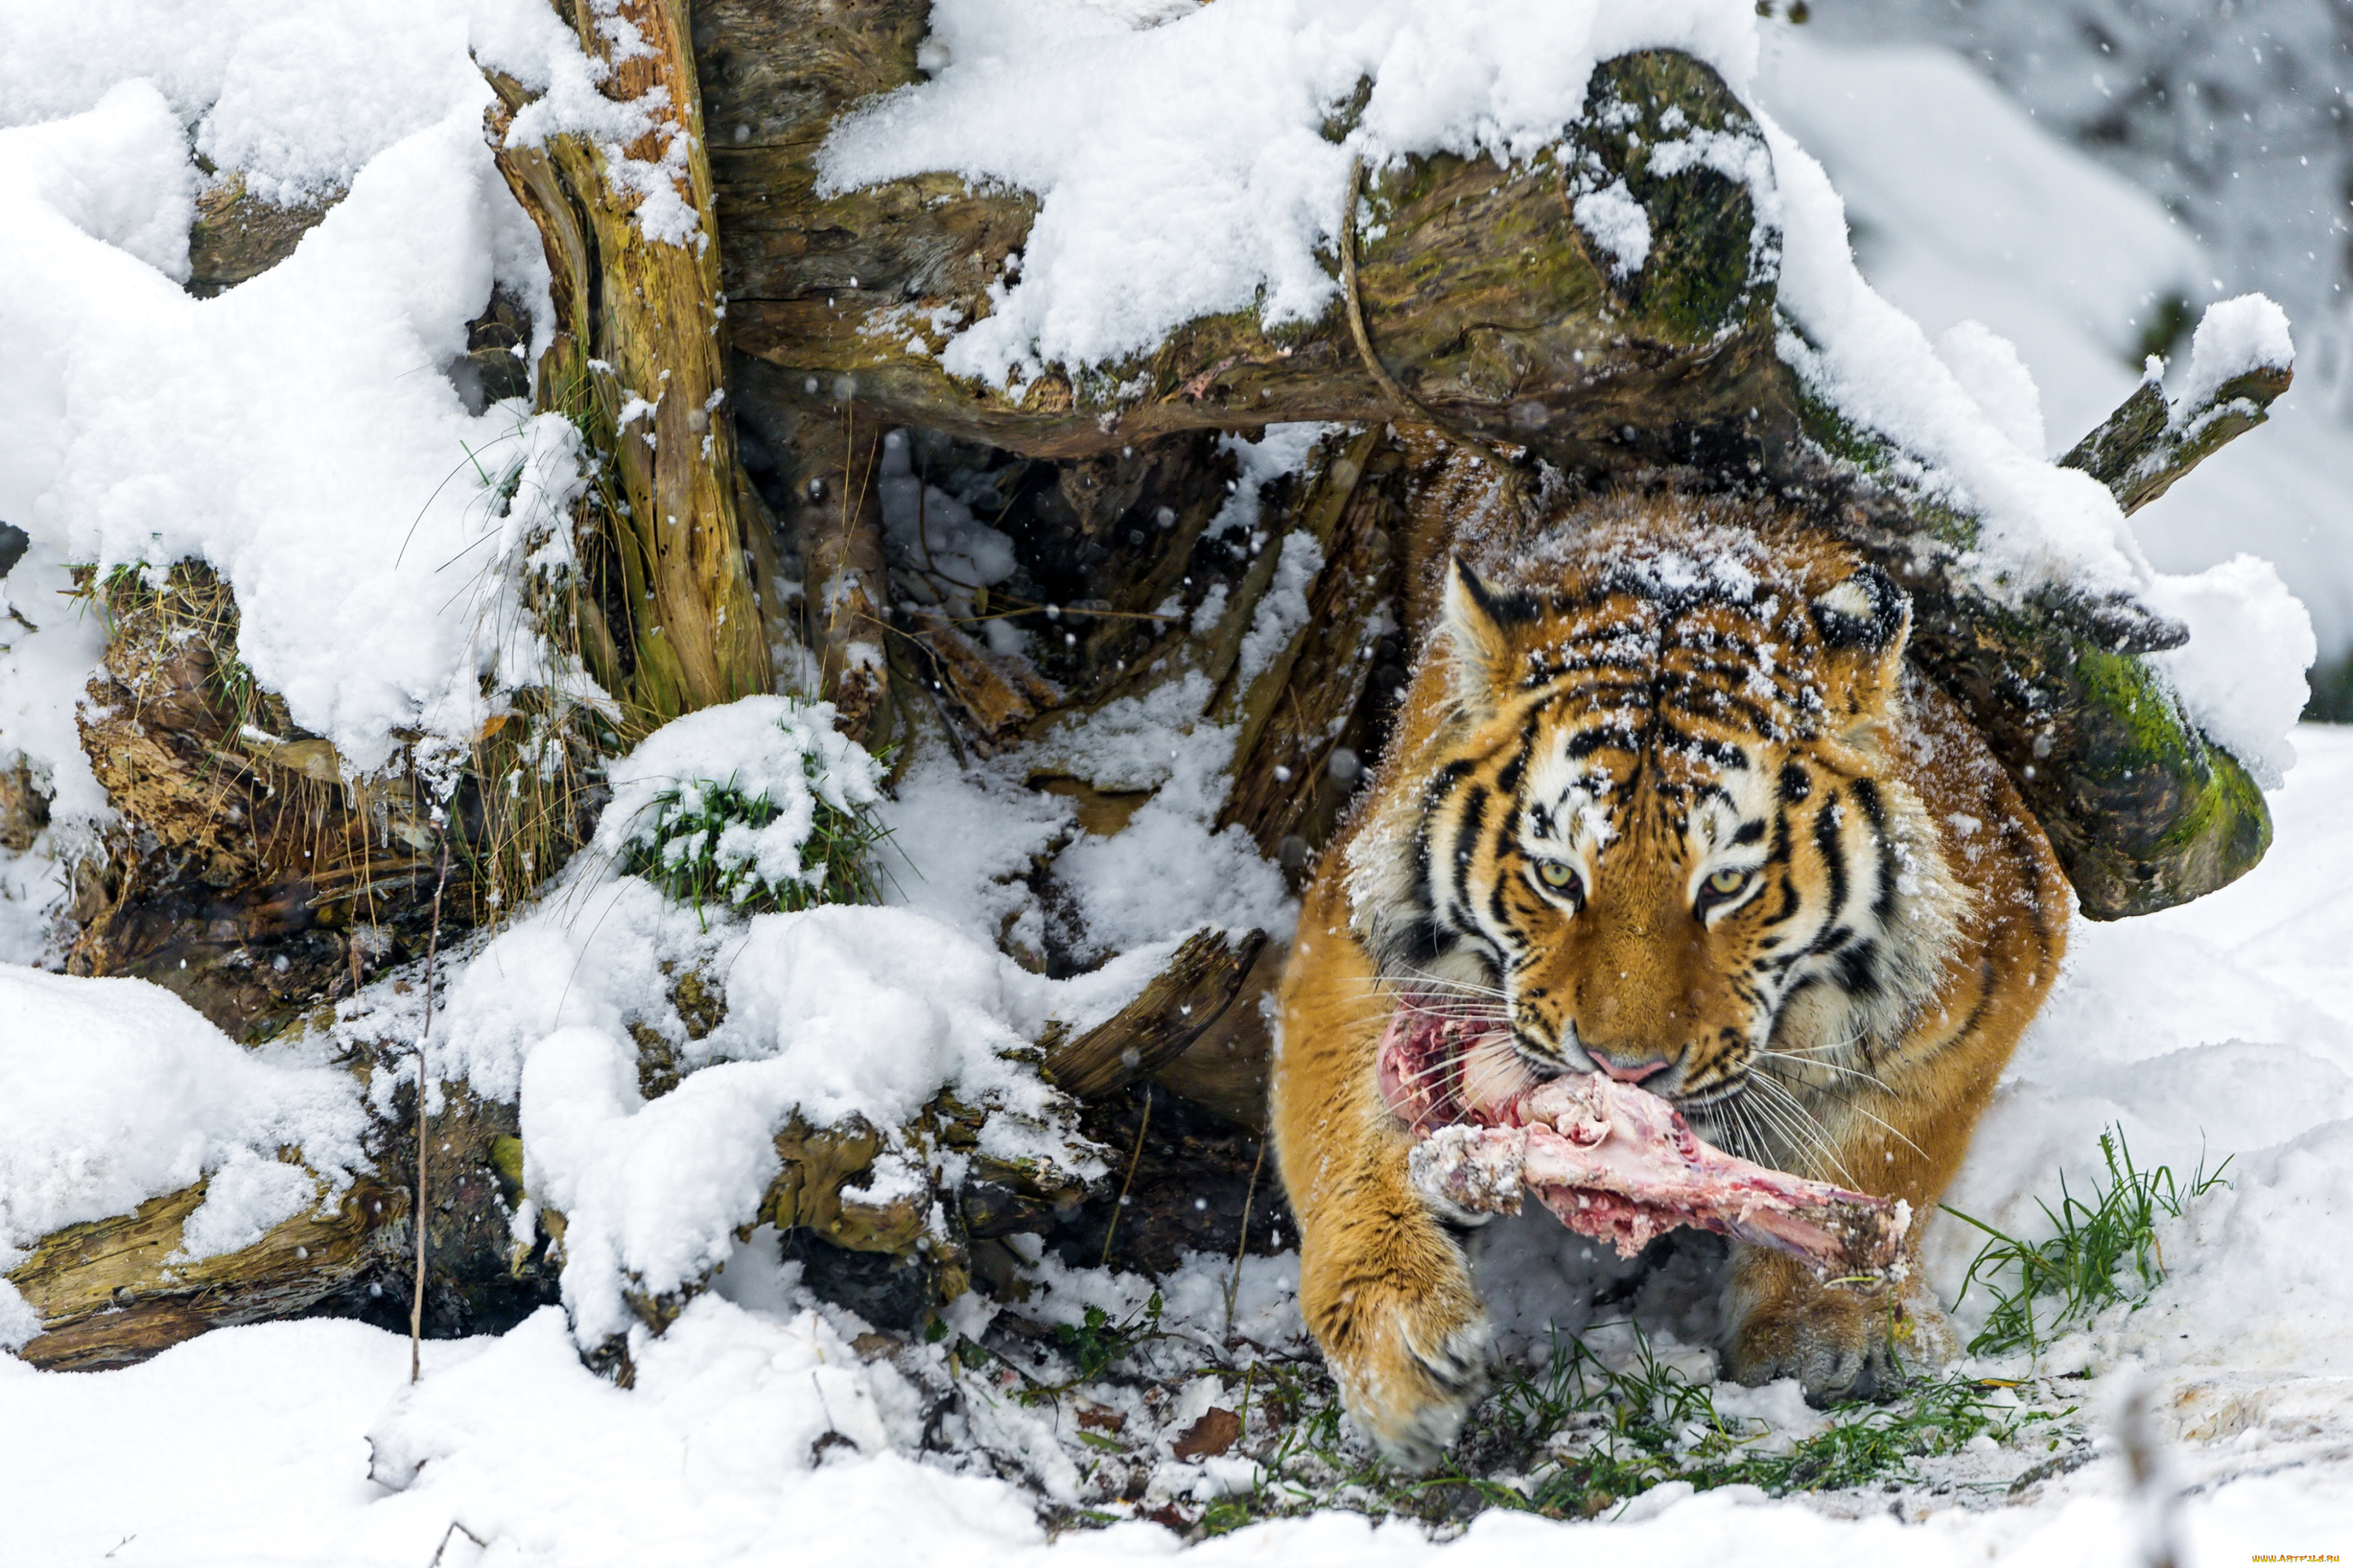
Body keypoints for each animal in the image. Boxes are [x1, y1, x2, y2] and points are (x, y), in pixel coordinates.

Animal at [1280, 493, 2071, 1476]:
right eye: (1557, 876)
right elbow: (1338, 1144)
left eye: (1725, 885)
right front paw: (1400, 1354)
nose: (1624, 1070)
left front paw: (1827, 1322)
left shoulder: (1986, 968)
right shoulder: (1346, 936)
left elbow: (1879, 1156)